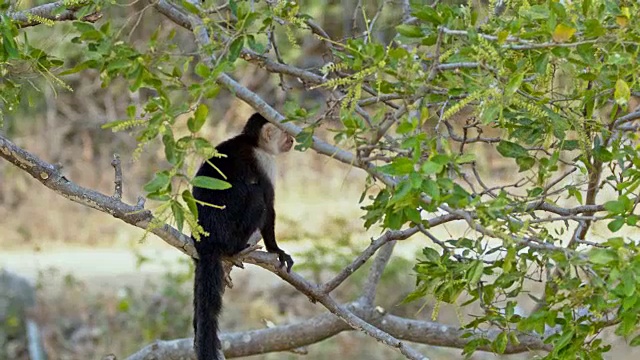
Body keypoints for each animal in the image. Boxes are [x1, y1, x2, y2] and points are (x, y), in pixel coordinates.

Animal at [191, 112, 294, 360]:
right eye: (285, 133)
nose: (293, 140)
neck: (253, 142)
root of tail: (208, 240)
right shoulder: (264, 161)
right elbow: (268, 203)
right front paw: (276, 250)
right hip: (231, 232)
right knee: (256, 196)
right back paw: (238, 248)